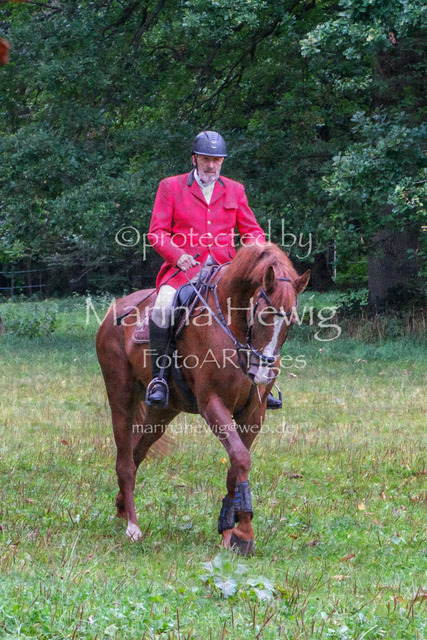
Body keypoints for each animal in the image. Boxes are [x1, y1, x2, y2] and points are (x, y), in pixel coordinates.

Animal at [96, 242, 310, 554]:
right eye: (261, 315)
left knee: (135, 455)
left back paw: (122, 507)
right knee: (124, 460)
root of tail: (116, 309)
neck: (232, 325)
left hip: (162, 413)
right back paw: (133, 527)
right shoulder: (212, 404)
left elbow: (235, 466)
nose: (261, 372)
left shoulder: (253, 413)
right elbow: (240, 458)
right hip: (121, 396)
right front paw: (244, 533)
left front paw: (229, 531)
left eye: (291, 321)